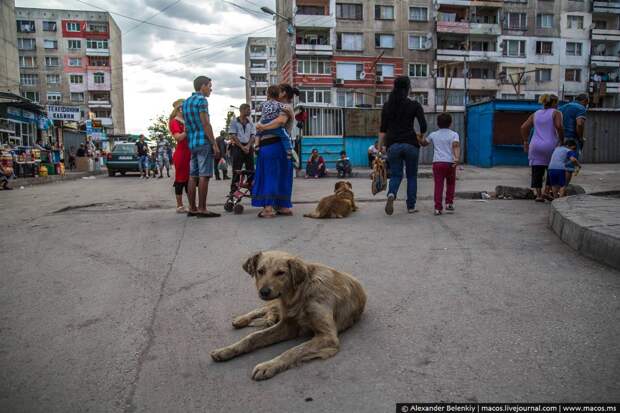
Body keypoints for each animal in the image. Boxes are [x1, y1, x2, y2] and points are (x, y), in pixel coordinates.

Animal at [211, 248, 366, 380]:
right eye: (260, 271)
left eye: (280, 273)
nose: (264, 291)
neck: (300, 293)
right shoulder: (288, 325)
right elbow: (252, 337)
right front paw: (226, 350)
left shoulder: (327, 336)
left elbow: (293, 351)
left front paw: (268, 366)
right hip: (274, 303)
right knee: (264, 308)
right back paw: (241, 320)